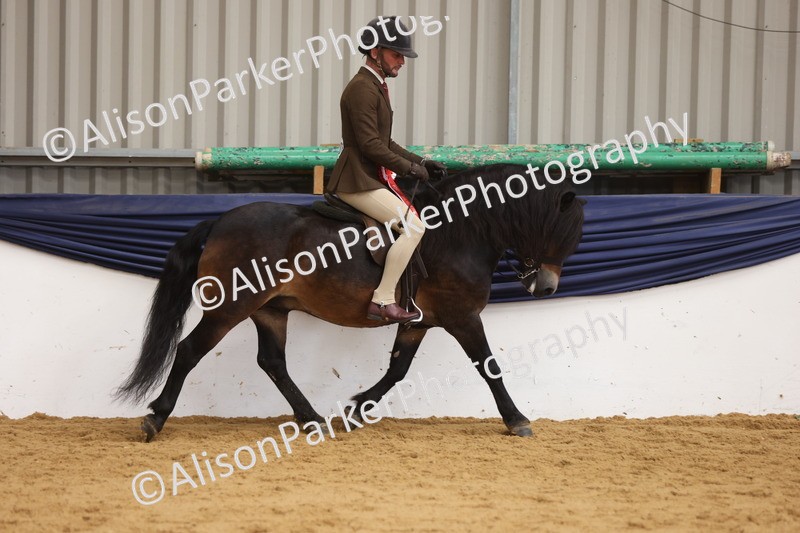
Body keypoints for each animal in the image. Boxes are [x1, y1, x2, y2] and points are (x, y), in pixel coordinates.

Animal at [116, 163, 585, 441]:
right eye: (558, 231)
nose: (546, 287)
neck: (460, 230)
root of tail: (220, 221)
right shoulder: (462, 317)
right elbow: (489, 366)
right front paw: (517, 419)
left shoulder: (417, 320)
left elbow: (397, 369)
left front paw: (358, 409)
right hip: (232, 307)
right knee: (189, 351)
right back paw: (155, 419)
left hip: (270, 310)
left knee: (272, 362)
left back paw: (312, 420)